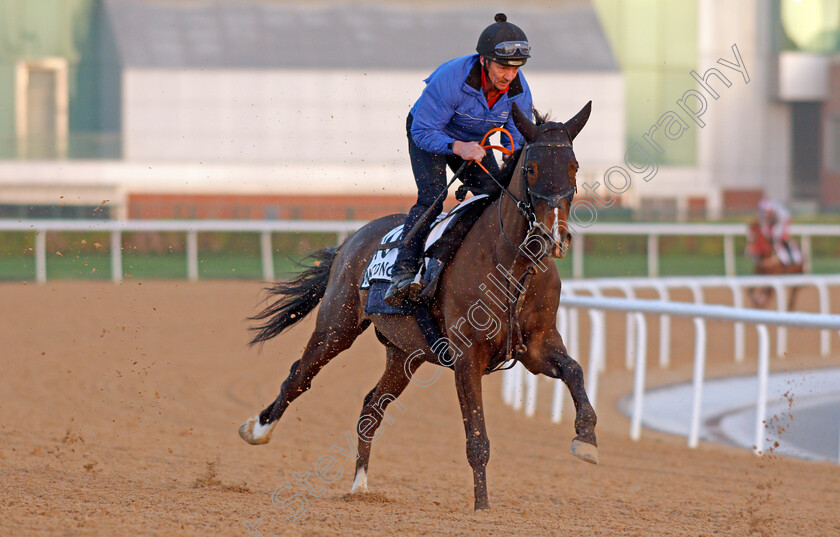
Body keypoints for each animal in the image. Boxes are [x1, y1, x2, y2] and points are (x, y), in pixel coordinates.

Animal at [240, 102, 600, 508]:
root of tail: (352, 239)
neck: (512, 265)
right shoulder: (467, 356)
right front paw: (482, 507)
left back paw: (360, 485)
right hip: (337, 325)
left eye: (573, 167)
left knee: (371, 405)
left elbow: (574, 371)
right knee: (299, 375)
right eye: (531, 168)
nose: (555, 236)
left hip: (404, 353)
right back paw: (258, 429)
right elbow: (477, 440)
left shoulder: (537, 346)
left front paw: (586, 439)